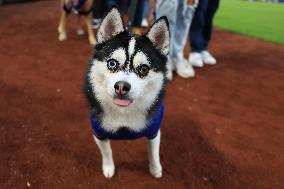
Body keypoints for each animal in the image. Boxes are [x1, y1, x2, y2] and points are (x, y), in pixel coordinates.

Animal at [83, 7, 170, 179]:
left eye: (143, 69)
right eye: (112, 63)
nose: (121, 86)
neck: (124, 113)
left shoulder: (154, 131)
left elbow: (153, 152)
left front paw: (155, 169)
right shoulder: (99, 133)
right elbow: (107, 152)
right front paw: (108, 168)